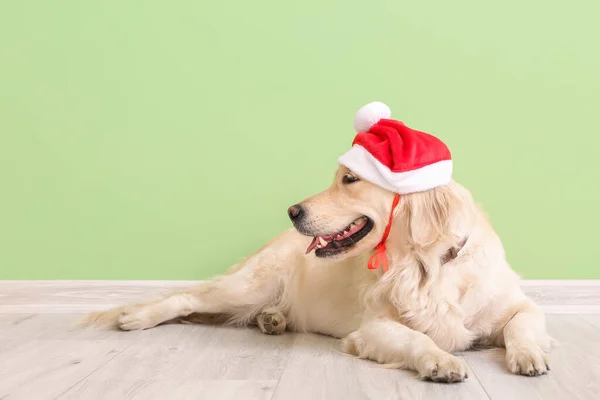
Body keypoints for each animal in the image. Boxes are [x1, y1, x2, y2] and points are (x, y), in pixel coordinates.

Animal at [82, 101, 552, 382]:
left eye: (350, 179)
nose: (292, 212)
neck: (425, 267)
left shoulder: (516, 304)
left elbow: (523, 323)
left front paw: (529, 355)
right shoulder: (373, 327)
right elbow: (417, 339)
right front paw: (441, 360)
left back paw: (272, 320)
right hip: (246, 284)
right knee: (185, 298)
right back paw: (135, 316)